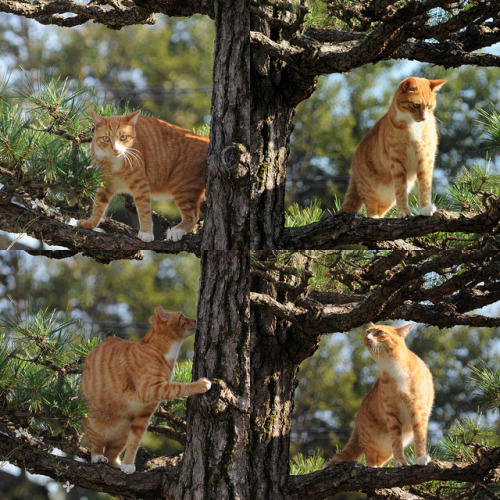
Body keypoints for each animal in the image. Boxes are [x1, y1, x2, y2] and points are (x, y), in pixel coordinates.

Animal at [81, 304, 210, 472]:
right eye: (182, 315)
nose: (196, 319)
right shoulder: (150, 389)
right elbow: (178, 387)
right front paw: (201, 384)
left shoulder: (144, 413)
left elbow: (135, 441)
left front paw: (128, 464)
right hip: (93, 421)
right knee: (96, 443)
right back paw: (97, 457)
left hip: (122, 434)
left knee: (112, 453)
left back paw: (117, 464)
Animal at [338, 77, 448, 218]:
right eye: (416, 105)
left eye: (429, 107)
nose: (424, 118)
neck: (412, 126)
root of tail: (354, 167)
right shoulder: (397, 163)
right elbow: (401, 191)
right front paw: (403, 211)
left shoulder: (425, 159)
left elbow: (425, 186)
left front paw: (426, 207)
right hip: (369, 188)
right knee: (371, 205)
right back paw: (373, 218)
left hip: (388, 199)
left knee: (380, 210)